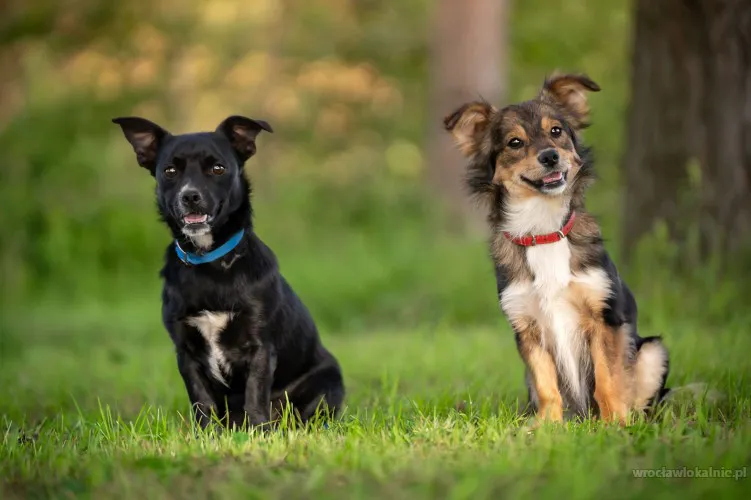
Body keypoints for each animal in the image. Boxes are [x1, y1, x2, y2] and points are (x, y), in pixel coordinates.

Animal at [112, 114, 346, 430]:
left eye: (218, 168)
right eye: (169, 171)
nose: (190, 196)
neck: (210, 262)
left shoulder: (259, 348)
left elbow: (255, 395)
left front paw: (259, 432)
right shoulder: (186, 353)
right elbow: (202, 401)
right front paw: (206, 434)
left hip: (327, 382)